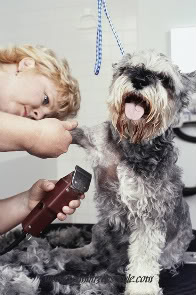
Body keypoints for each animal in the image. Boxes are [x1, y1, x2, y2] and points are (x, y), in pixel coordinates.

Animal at [68, 51, 196, 295]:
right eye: (128, 68)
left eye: (164, 79)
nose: (139, 80)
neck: (132, 144)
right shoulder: (94, 140)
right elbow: (70, 129)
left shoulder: (149, 215)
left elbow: (144, 260)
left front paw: (141, 289)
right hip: (102, 227)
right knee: (94, 245)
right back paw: (70, 252)